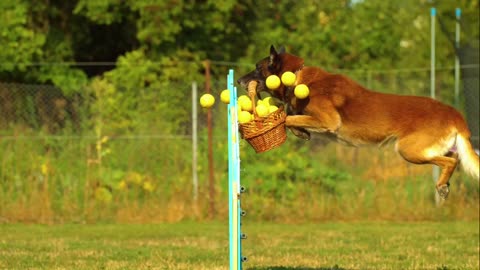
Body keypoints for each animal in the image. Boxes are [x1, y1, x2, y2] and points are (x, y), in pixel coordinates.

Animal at [238, 45, 478, 199]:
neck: (297, 77)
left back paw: (442, 185)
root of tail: (455, 114)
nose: (239, 80)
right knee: (455, 157)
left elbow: (288, 117)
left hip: (408, 149)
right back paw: (445, 184)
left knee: (451, 161)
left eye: (257, 68)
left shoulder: (328, 120)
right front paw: (301, 132)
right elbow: (293, 117)